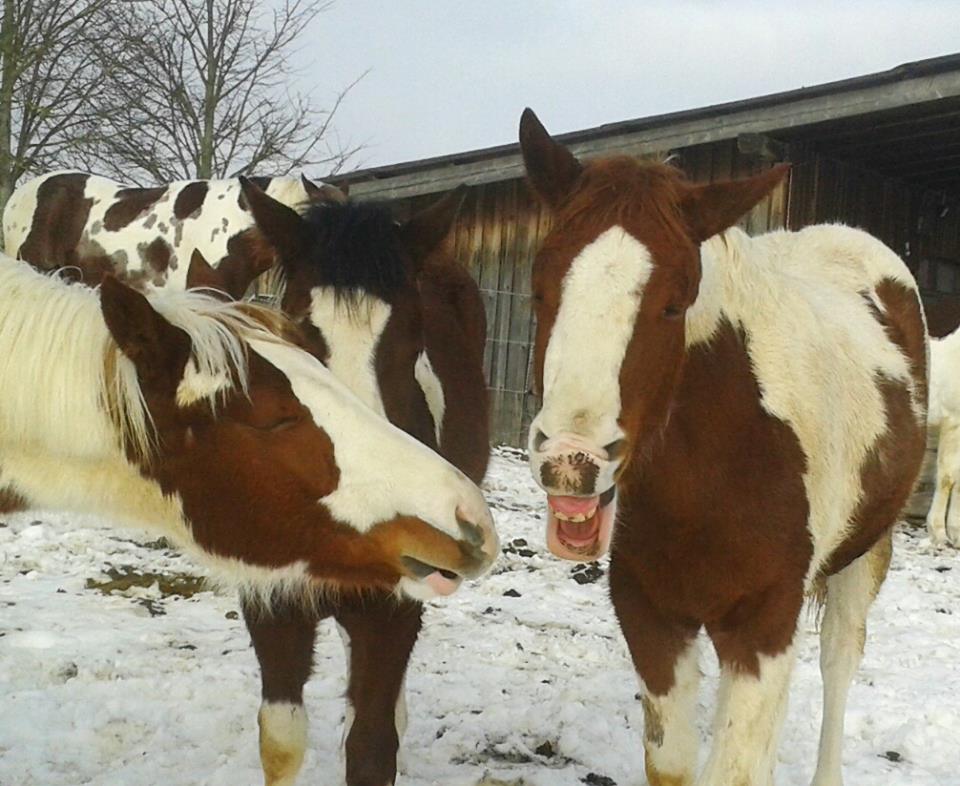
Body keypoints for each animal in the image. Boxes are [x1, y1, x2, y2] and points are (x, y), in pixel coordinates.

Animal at [228, 179, 490, 786]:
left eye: (415, 336)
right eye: (299, 325)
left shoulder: (393, 608)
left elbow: (372, 748)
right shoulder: (271, 598)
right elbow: (281, 741)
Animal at [518, 108, 927, 786]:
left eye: (674, 302)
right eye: (540, 288)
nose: (571, 461)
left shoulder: (765, 624)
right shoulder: (651, 615)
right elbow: (675, 763)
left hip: (866, 550)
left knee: (839, 661)